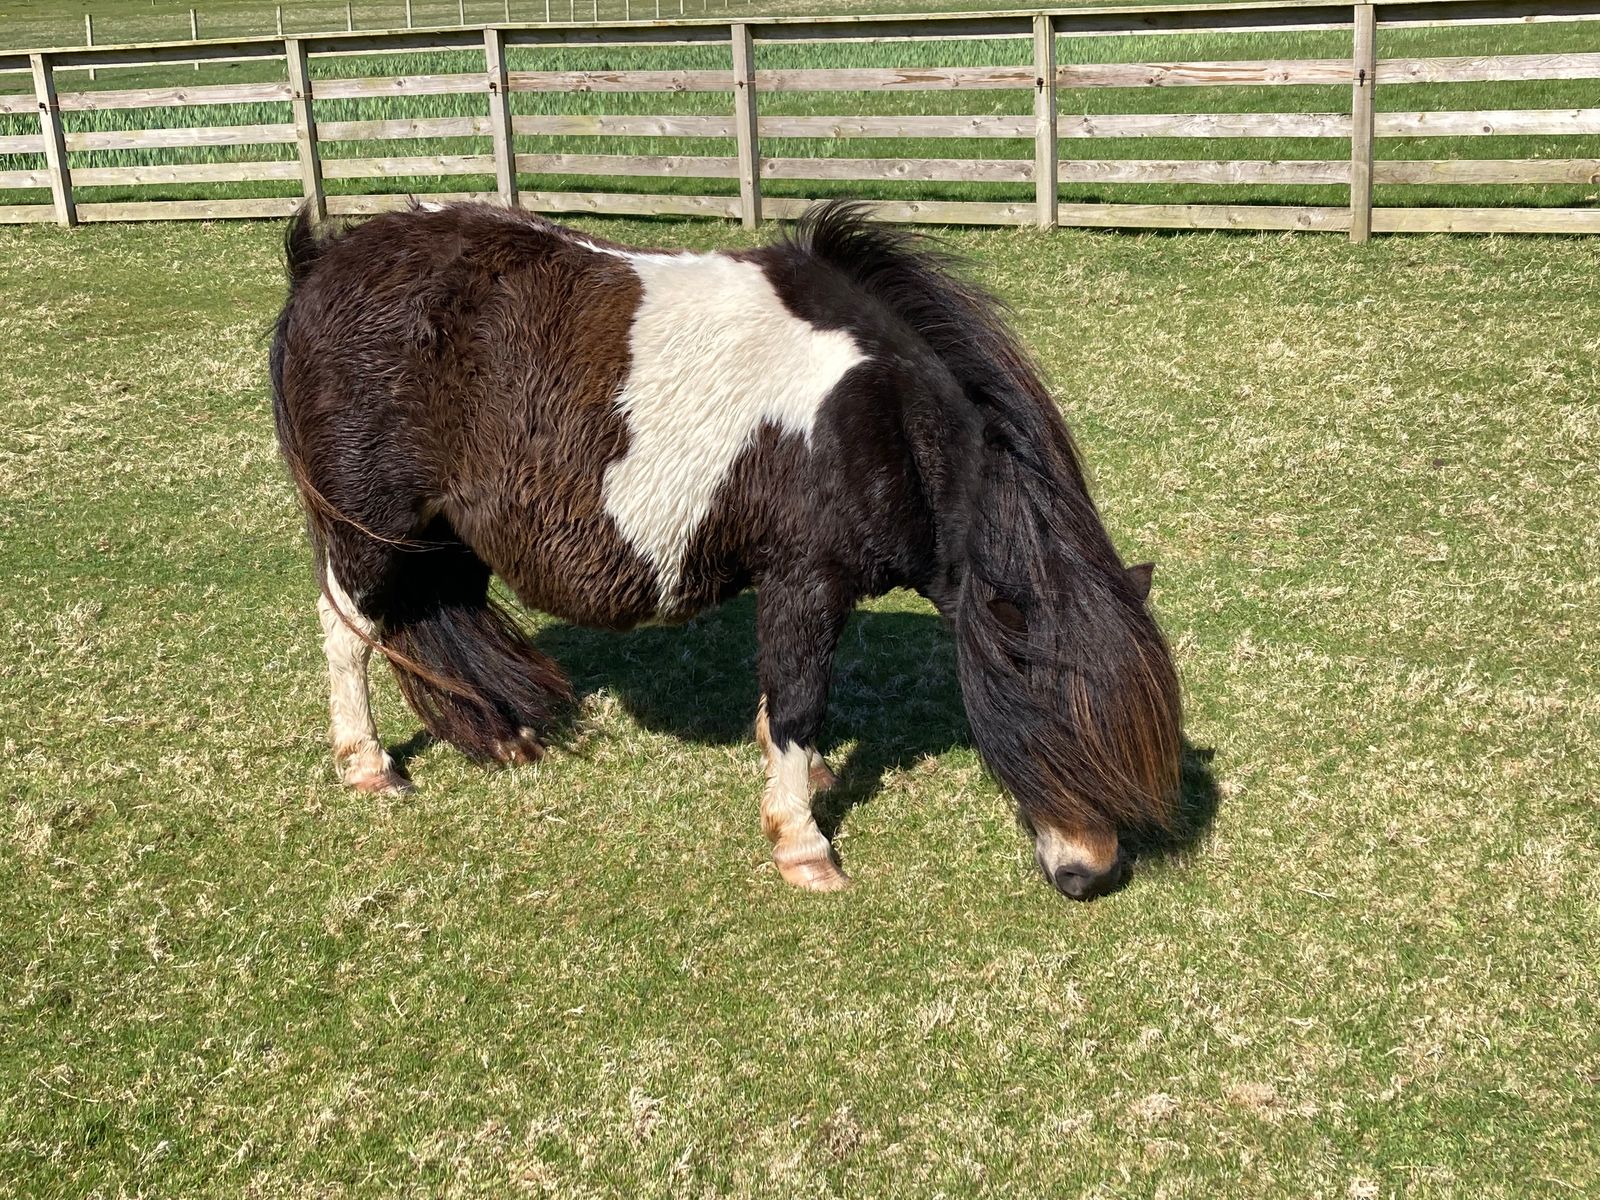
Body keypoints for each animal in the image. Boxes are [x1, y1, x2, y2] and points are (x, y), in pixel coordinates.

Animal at [270, 199, 1182, 901]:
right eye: (1048, 715)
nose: (1092, 874)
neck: (872, 416)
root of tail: (322, 263)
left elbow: (788, 703)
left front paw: (806, 780)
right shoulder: (805, 580)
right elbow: (800, 700)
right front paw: (803, 844)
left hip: (444, 535)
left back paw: (501, 733)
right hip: (372, 528)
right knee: (347, 630)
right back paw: (368, 764)